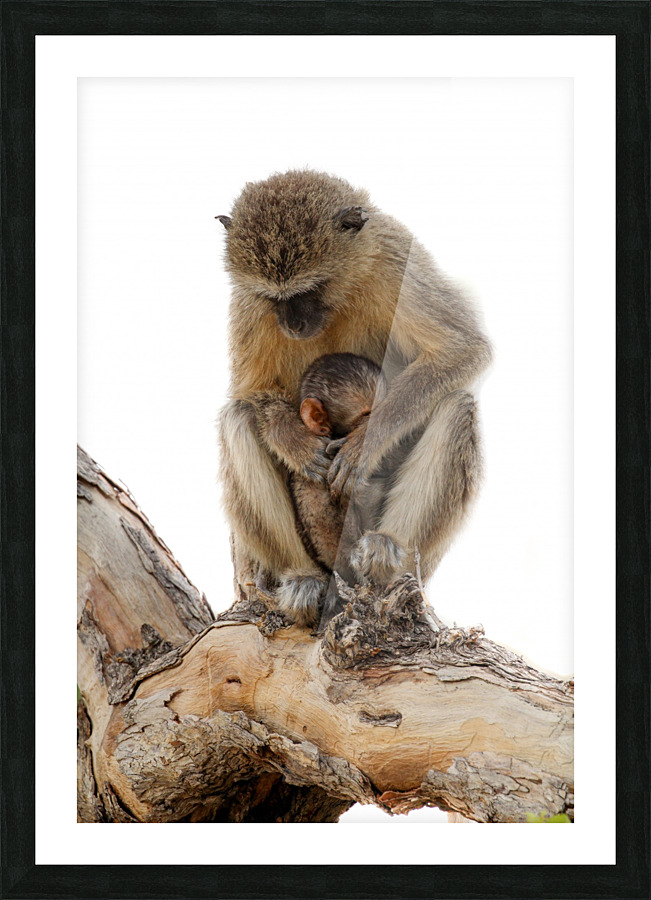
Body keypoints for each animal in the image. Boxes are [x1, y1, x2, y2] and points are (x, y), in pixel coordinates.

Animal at [217, 169, 492, 628]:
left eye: (312, 289)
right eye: (276, 298)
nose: (293, 324)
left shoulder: (393, 259)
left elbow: (460, 348)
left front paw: (365, 443)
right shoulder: (249, 305)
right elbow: (250, 393)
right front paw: (295, 441)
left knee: (457, 405)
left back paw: (386, 553)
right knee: (238, 417)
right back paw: (303, 577)